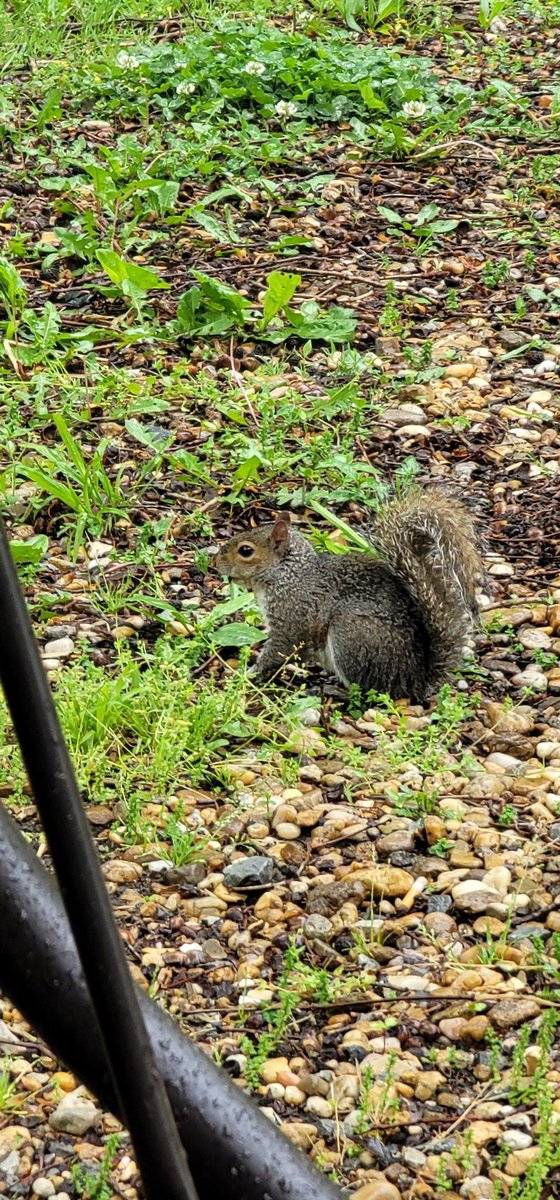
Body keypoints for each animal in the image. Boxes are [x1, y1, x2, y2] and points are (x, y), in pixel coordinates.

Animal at [215, 488, 481, 703]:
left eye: (246, 551)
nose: (215, 561)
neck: (288, 574)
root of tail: (415, 680)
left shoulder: (291, 616)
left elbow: (279, 649)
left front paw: (247, 674)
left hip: (350, 635)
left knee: (369, 693)